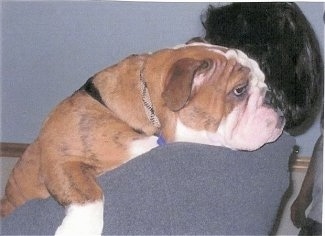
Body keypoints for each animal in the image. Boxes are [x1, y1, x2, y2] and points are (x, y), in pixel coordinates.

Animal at [0, 42, 284, 234]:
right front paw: (81, 229)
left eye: (264, 81)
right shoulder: (61, 160)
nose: (275, 98)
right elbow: (90, 194)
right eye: (239, 90)